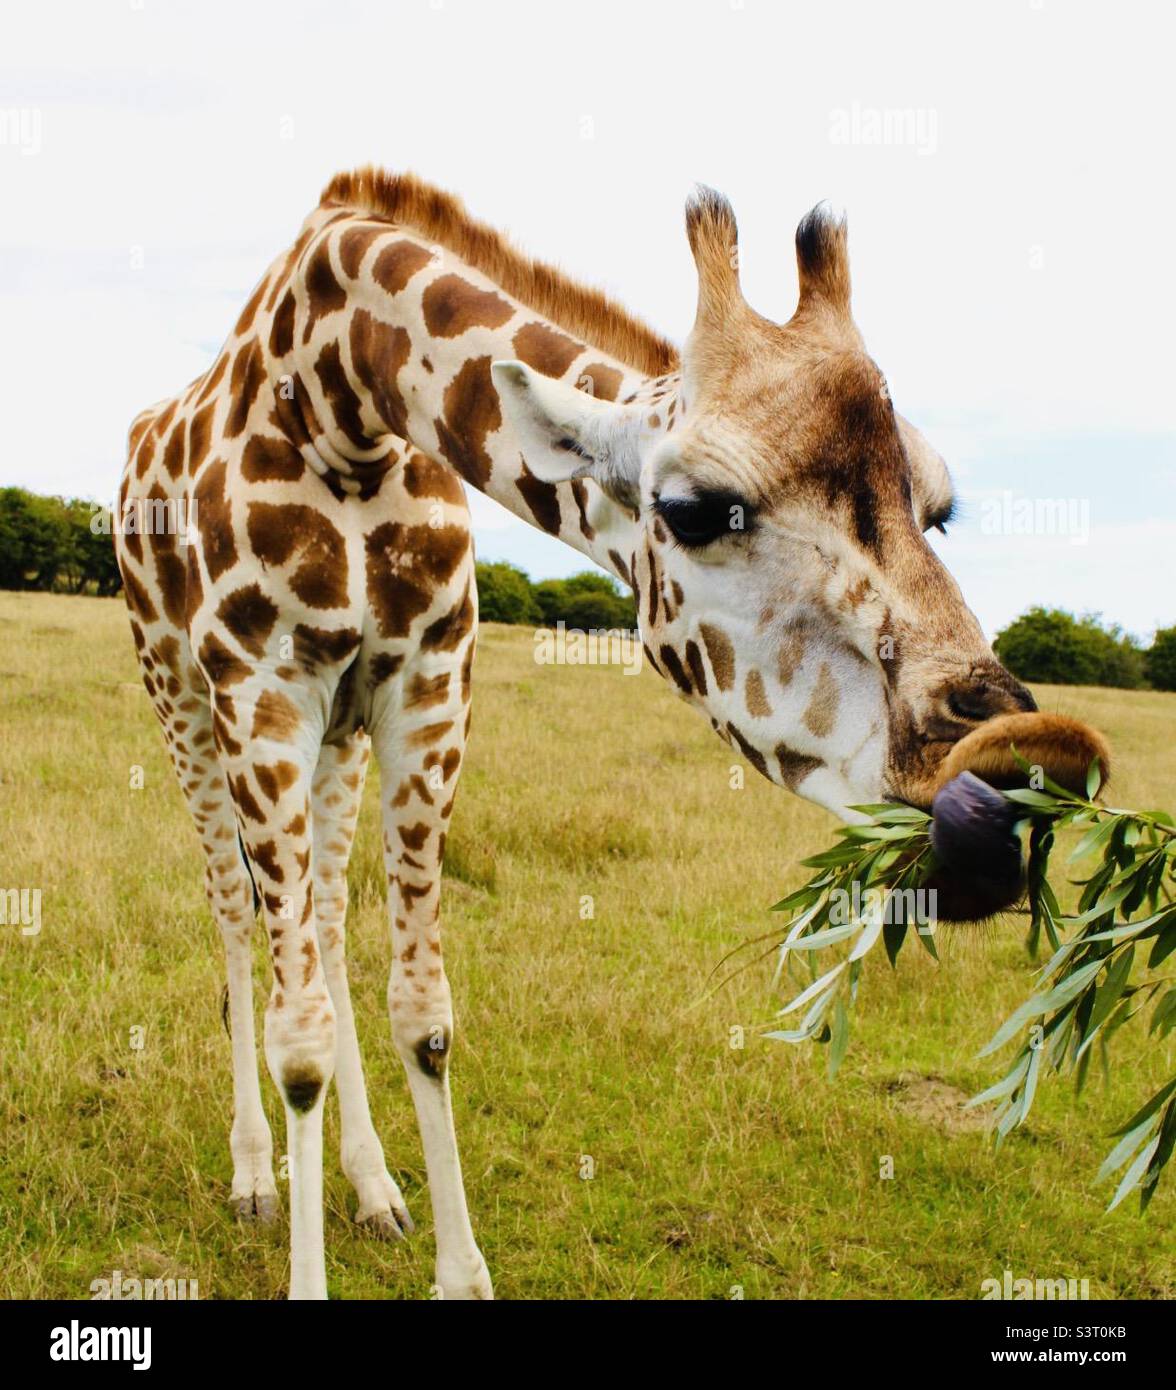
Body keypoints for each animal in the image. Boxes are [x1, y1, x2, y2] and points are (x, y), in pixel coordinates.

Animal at [115, 168, 1112, 1295]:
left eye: (938, 508)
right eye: (696, 507)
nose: (1025, 775)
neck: (344, 403)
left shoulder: (426, 684)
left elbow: (425, 1014)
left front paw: (456, 1268)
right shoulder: (264, 687)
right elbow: (299, 1043)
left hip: (337, 735)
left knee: (323, 923)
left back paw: (371, 1186)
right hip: (183, 695)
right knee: (235, 911)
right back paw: (252, 1175)